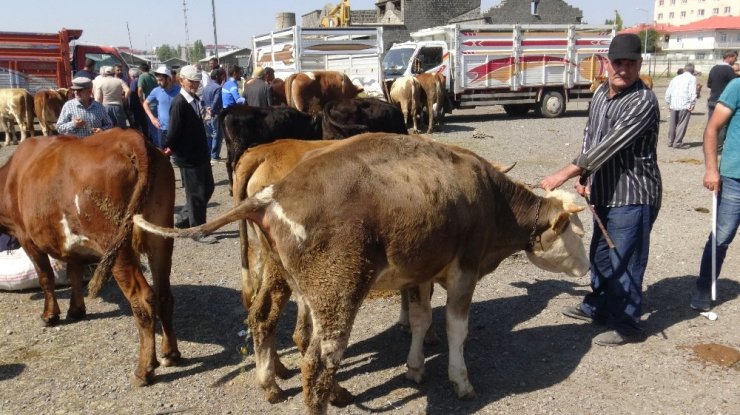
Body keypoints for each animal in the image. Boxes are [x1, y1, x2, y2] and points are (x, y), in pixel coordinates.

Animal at [0, 129, 181, 386]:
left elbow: (46, 278)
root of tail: (131, 138)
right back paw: (170, 353)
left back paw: (144, 370)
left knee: (143, 299)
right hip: (160, 234)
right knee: (164, 293)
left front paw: (49, 315)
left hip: (115, 242)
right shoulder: (72, 245)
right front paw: (76, 309)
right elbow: (74, 272)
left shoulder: (27, 238)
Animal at [134, 134, 588, 415]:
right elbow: (456, 329)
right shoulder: (465, 268)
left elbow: (420, 318)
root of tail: (275, 192)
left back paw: (273, 382)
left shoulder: (420, 269)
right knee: (317, 363)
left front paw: (415, 367)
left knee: (265, 318)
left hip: (287, 277)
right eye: (577, 232)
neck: (490, 198)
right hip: (337, 293)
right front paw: (459, 380)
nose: (586, 268)